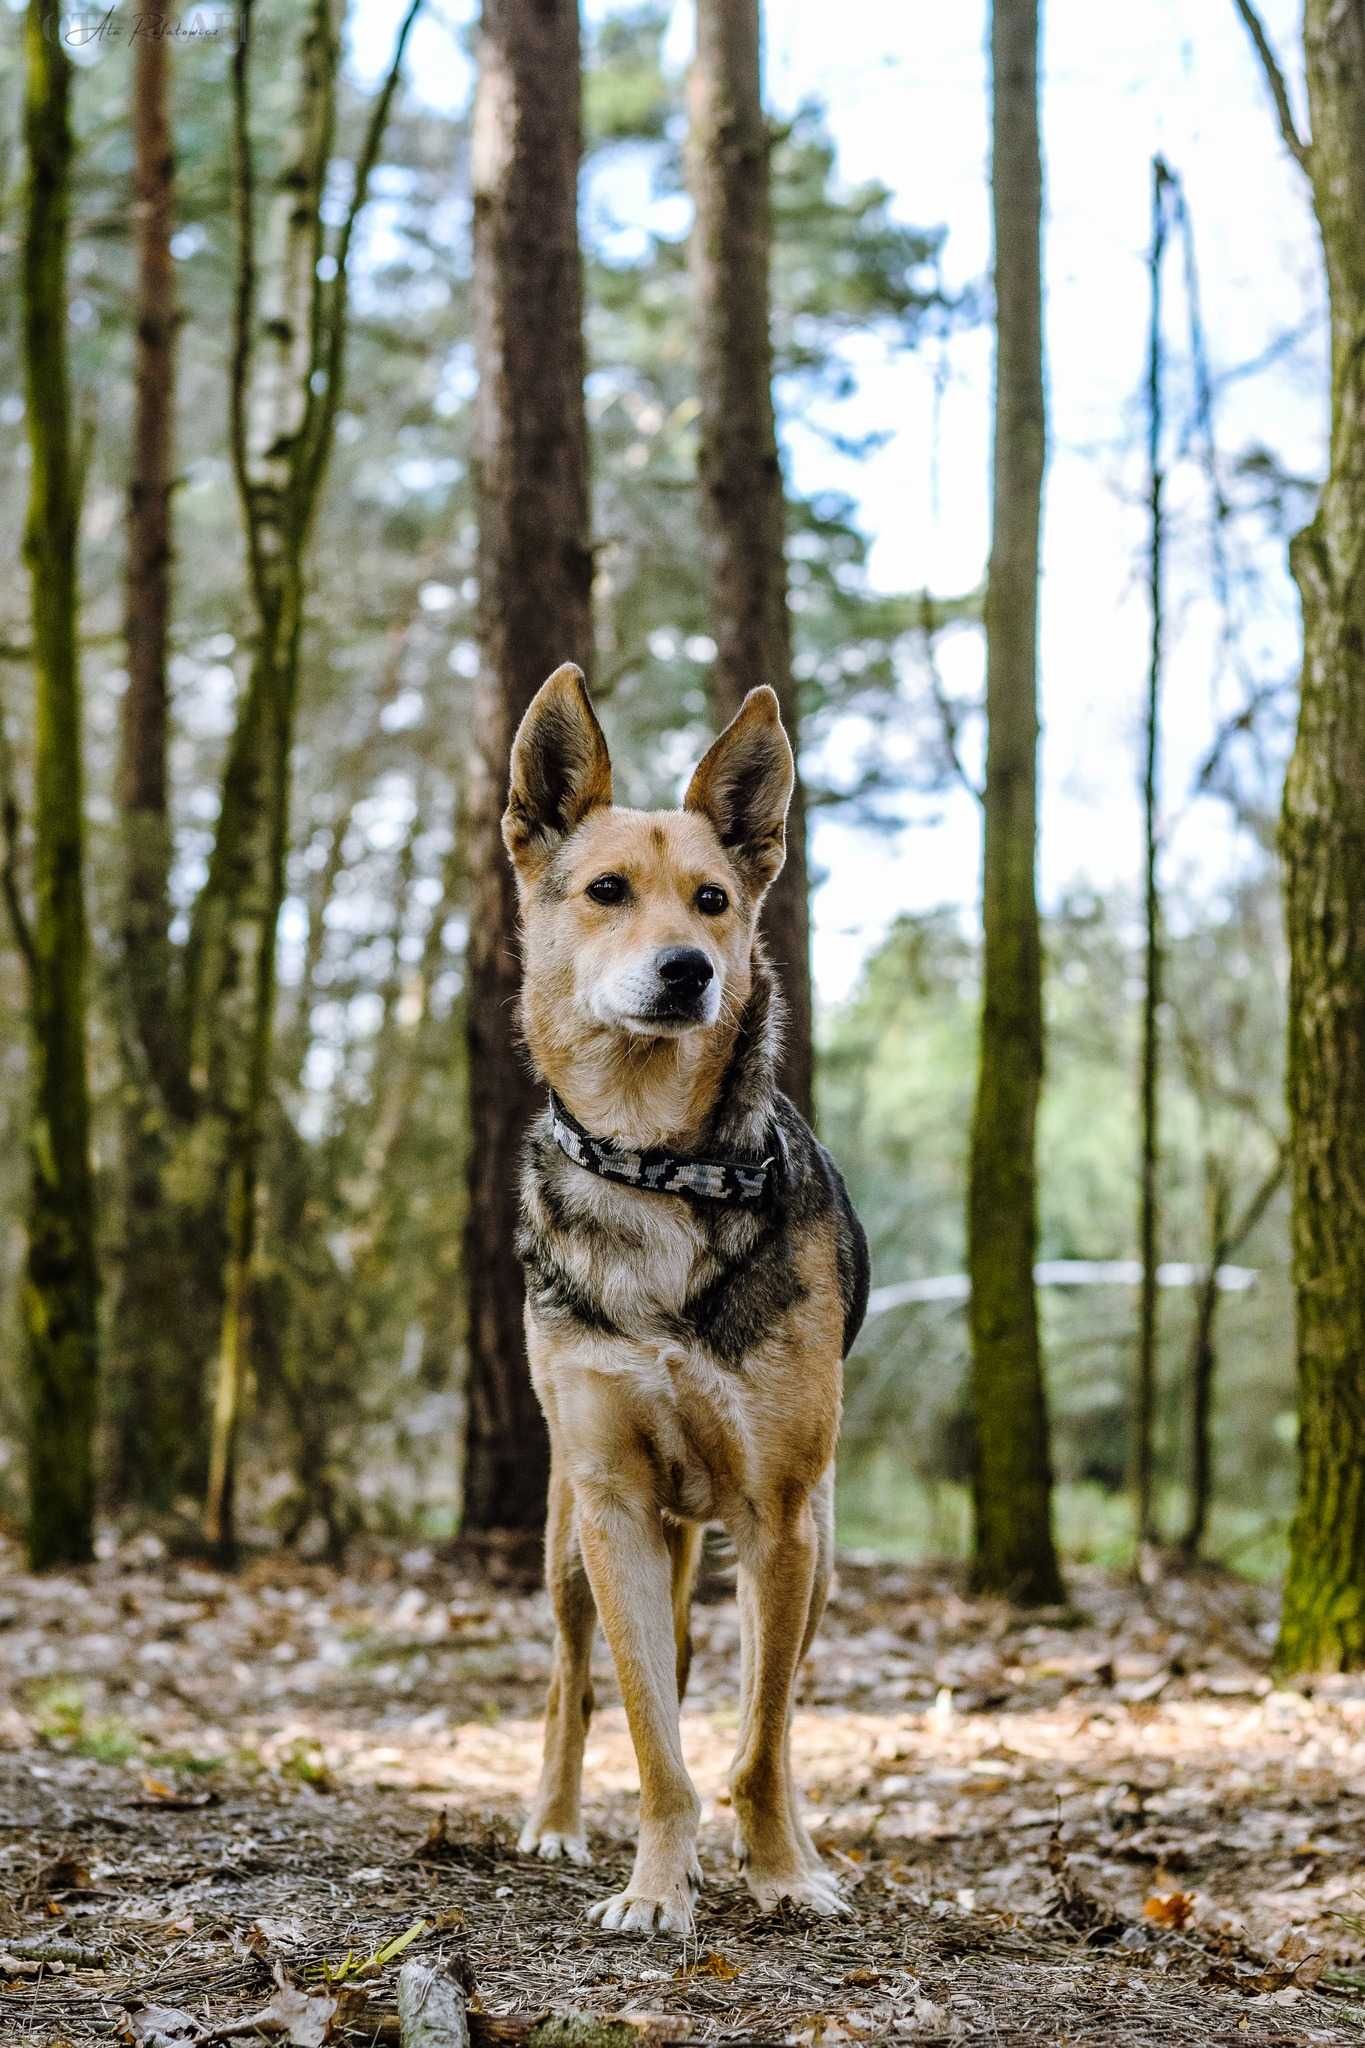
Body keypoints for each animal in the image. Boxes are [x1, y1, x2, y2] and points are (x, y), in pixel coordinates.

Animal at [507, 659, 871, 1933]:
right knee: (576, 1678)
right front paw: (656, 1885)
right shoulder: (613, 1500)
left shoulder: (779, 1512)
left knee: (765, 1695)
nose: (688, 970)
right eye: (607, 891)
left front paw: (781, 1869)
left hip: (805, 1544)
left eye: (713, 900)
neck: (660, 1164)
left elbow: (759, 1739)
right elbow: (649, 1728)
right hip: (572, 1540)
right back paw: (556, 1820)